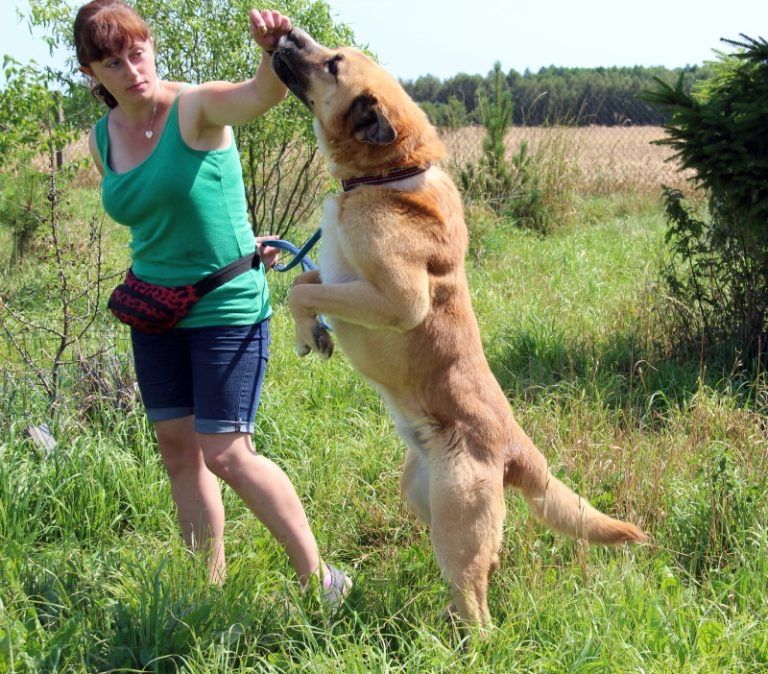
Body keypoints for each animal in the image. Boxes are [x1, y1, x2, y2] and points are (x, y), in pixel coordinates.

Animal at [268, 26, 640, 624]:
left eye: (332, 63)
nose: (286, 33)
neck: (387, 172)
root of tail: (516, 448)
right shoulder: (338, 273)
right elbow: (304, 281)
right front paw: (313, 333)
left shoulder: (400, 299)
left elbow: (301, 289)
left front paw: (309, 332)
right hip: (425, 498)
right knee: (488, 563)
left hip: (454, 523)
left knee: (477, 606)